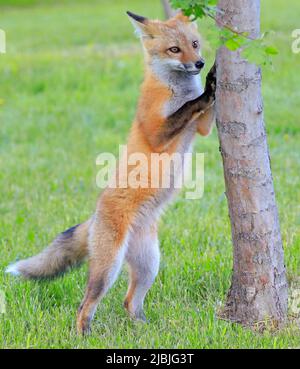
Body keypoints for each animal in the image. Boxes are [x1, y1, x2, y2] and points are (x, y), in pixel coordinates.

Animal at [6, 10, 216, 334]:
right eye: (174, 50)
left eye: (194, 43)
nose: (200, 63)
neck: (175, 88)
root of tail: (95, 214)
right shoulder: (156, 131)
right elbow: (190, 106)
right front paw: (210, 84)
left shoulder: (201, 128)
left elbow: (203, 112)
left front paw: (216, 79)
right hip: (108, 268)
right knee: (84, 305)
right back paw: (84, 334)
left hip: (149, 264)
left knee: (129, 302)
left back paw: (144, 329)